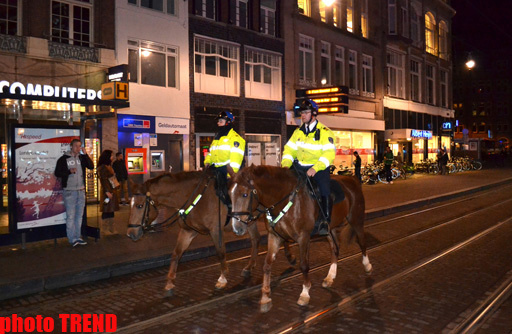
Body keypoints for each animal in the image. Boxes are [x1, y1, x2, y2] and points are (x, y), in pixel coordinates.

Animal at [127, 171, 296, 296]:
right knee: (256, 239)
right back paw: (250, 267)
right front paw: (169, 282)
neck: (193, 197)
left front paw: (222, 279)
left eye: (140, 205)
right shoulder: (188, 231)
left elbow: (220, 253)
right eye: (130, 204)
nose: (130, 233)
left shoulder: (216, 231)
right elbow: (176, 254)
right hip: (249, 222)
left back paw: (290, 257)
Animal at [229, 166, 372, 312]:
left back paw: (367, 265)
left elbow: (304, 265)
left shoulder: (303, 237)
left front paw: (305, 294)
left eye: (244, 194)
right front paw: (265, 297)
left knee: (362, 241)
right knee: (335, 249)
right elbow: (267, 265)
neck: (286, 201)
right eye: (229, 194)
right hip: (330, 229)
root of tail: (353, 179)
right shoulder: (274, 236)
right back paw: (330, 277)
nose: (237, 228)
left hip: (356, 219)